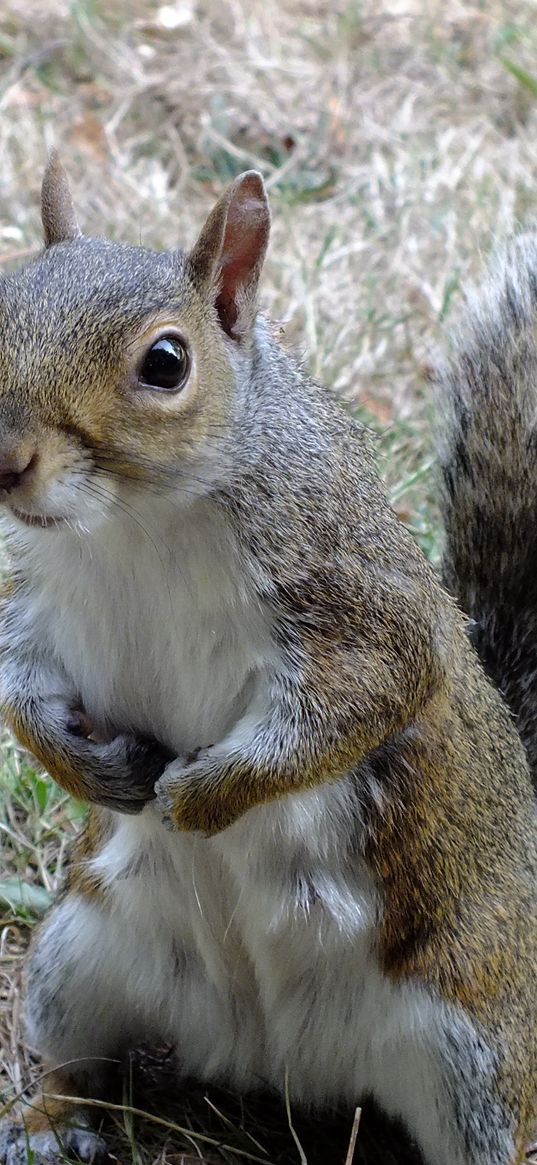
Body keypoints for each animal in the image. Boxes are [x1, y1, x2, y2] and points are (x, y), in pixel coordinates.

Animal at [0, 154, 533, 1165]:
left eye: (166, 362)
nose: (5, 461)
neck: (135, 520)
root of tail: (277, 1061)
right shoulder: (28, 592)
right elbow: (16, 689)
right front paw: (85, 765)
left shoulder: (354, 597)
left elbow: (363, 697)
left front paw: (202, 795)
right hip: (78, 954)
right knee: (72, 1056)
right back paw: (48, 1120)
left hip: (475, 1047)